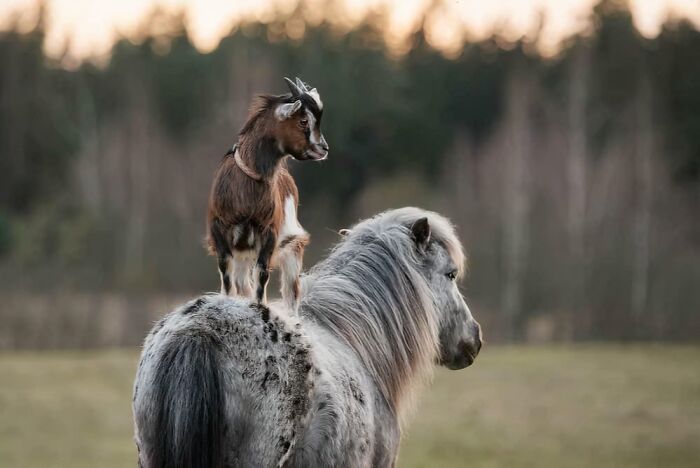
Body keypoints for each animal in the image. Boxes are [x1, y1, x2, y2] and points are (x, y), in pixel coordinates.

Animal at [207, 77, 328, 315]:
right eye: (303, 121)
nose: (324, 149)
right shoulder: (219, 228)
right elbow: (226, 271)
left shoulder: (269, 232)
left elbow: (262, 273)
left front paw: (260, 305)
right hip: (244, 251)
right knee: (242, 282)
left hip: (292, 248)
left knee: (291, 293)